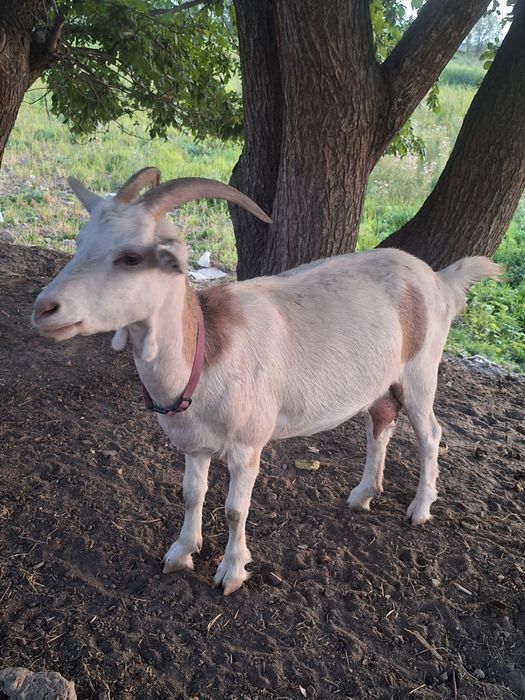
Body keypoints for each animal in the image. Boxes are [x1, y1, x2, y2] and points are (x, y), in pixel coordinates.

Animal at [32, 168, 502, 595]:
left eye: (131, 257)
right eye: (80, 243)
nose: (44, 309)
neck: (206, 349)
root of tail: (439, 279)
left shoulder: (247, 445)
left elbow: (235, 510)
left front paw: (231, 572)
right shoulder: (193, 444)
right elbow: (191, 494)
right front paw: (182, 552)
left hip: (421, 369)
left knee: (430, 433)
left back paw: (419, 508)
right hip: (383, 381)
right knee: (380, 422)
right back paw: (363, 493)